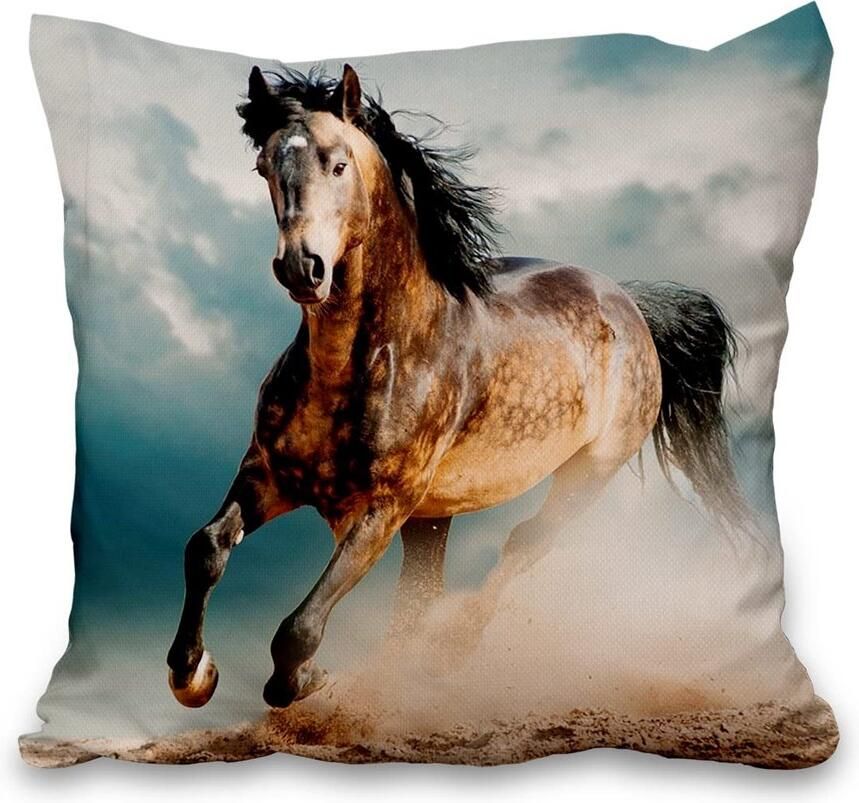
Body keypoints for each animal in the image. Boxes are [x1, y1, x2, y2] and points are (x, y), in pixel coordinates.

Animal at [167, 64, 748, 710]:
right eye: (264, 166)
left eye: (338, 164)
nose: (302, 268)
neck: (361, 364)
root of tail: (631, 304)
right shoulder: (269, 473)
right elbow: (205, 548)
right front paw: (192, 674)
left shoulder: (383, 506)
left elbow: (300, 628)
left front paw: (308, 679)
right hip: (434, 516)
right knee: (421, 595)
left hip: (587, 473)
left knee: (521, 546)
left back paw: (448, 654)